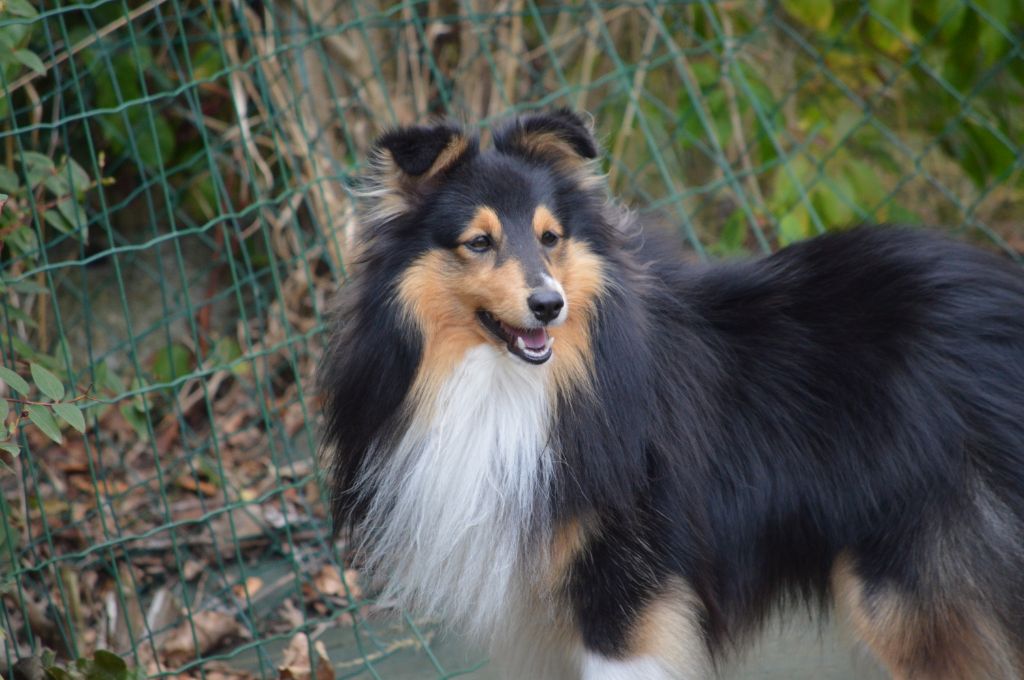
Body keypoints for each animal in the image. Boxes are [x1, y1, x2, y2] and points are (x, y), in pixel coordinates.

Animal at [319, 109, 1024, 675]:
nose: (550, 305)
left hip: (903, 587)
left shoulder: (624, 592)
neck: (512, 389)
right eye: (479, 241)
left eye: (550, 237)